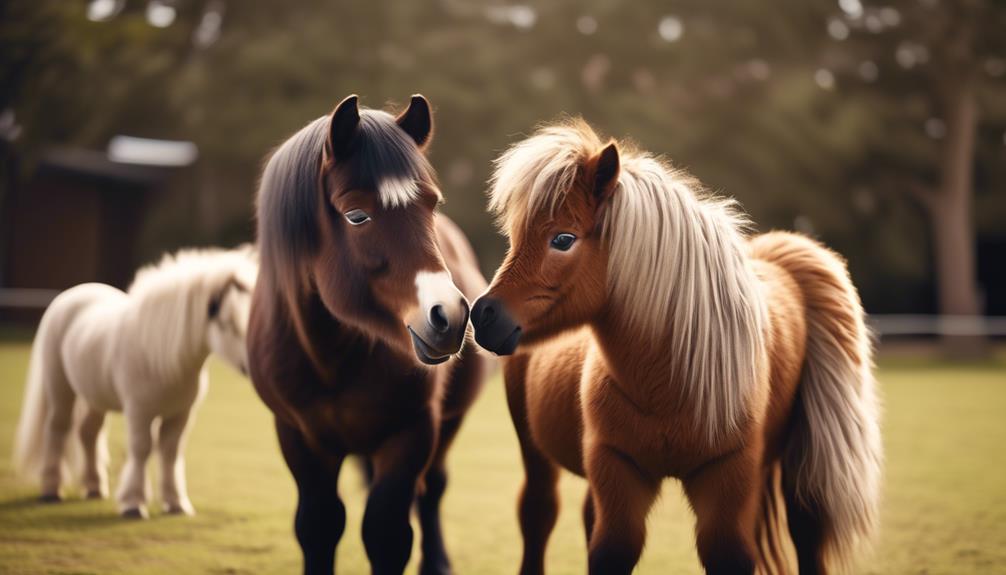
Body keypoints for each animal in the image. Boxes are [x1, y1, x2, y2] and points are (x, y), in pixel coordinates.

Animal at [13, 246, 257, 514]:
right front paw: (133, 503)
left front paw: (176, 502)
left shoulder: (180, 414)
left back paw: (94, 487)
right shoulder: (139, 411)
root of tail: (72, 295)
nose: (254, 366)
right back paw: (51, 490)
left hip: (95, 397)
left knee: (88, 432)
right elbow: (142, 449)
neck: (160, 355)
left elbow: (170, 452)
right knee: (57, 428)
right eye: (228, 324)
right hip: (59, 388)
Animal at [250, 95, 486, 575]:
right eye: (356, 215)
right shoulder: (298, 436)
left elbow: (387, 533)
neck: (330, 357)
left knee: (433, 489)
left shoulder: (412, 431)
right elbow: (318, 526)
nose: (451, 315)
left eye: (431, 205)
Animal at [470, 119, 881, 570]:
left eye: (563, 239)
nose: (483, 314)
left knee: (807, 529)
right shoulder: (617, 469)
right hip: (535, 450)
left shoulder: (727, 474)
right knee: (539, 515)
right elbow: (611, 548)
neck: (669, 379)